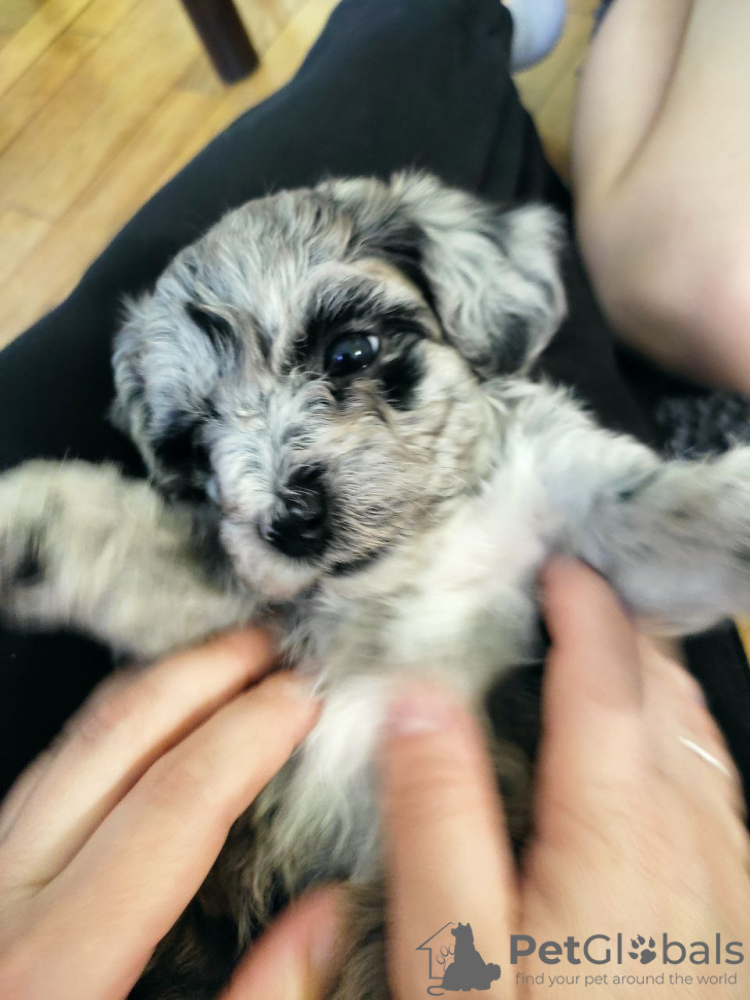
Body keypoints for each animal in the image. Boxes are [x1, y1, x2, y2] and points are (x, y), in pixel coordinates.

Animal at [2, 172, 750, 998]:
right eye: (196, 447)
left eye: (350, 350)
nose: (290, 520)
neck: (412, 563)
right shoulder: (244, 610)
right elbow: (158, 554)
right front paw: (37, 526)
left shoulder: (579, 511)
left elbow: (662, 516)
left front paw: (733, 505)